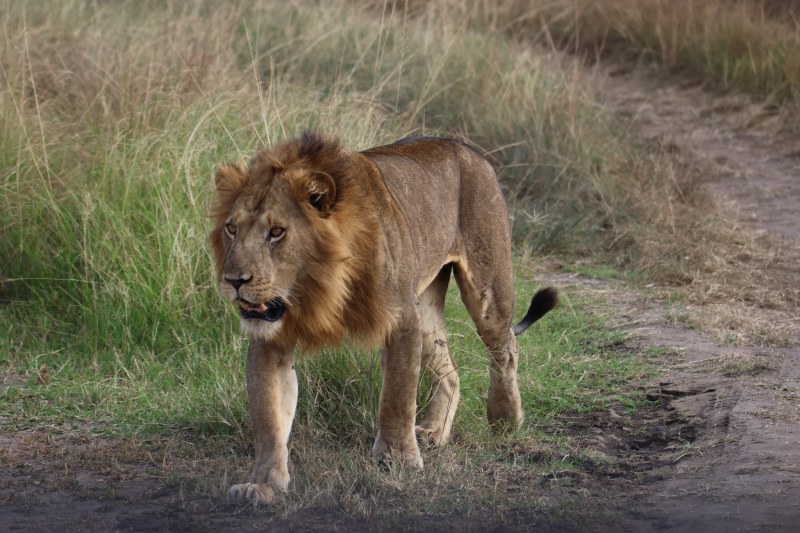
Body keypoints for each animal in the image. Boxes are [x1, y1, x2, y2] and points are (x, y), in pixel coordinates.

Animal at [212, 133, 556, 502]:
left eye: (277, 231)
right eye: (231, 229)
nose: (233, 280)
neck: (321, 287)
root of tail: (464, 146)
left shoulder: (402, 318)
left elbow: (397, 395)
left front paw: (398, 458)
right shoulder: (271, 339)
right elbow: (269, 417)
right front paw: (263, 485)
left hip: (486, 287)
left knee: (506, 348)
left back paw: (505, 418)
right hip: (426, 307)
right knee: (449, 370)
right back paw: (434, 431)